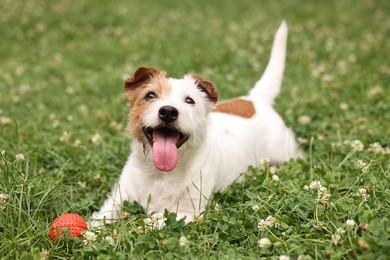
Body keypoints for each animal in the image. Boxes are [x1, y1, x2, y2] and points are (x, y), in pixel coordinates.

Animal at [90, 21, 302, 226]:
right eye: (150, 95)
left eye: (189, 100)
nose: (168, 112)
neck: (160, 174)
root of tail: (254, 99)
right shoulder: (118, 198)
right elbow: (100, 219)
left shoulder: (186, 213)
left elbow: (154, 222)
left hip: (285, 155)